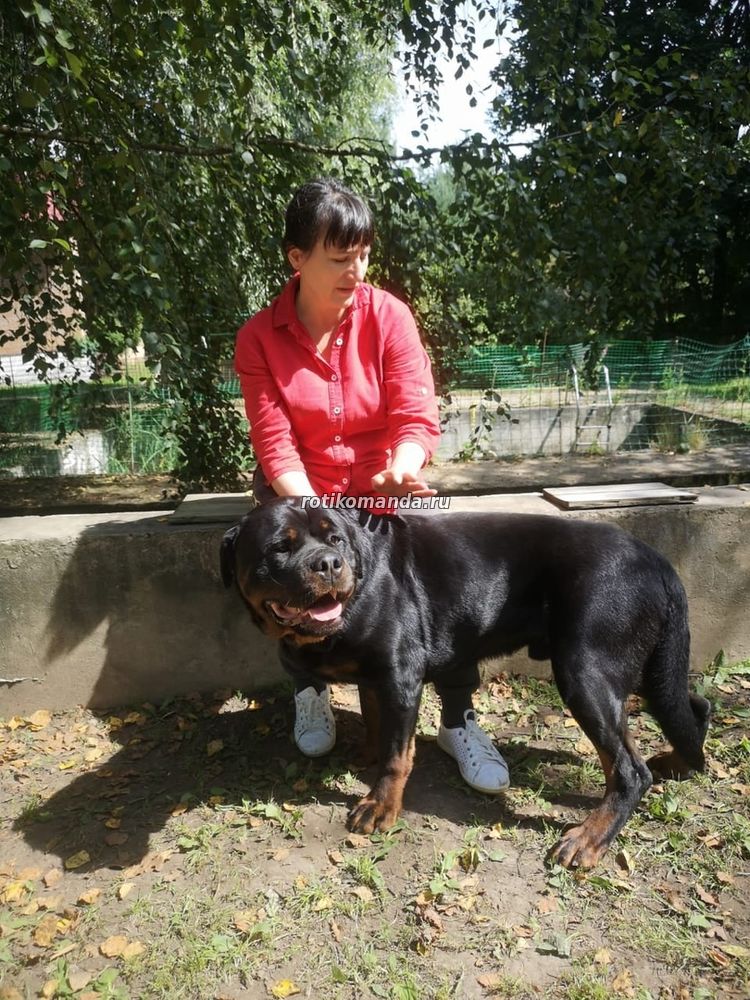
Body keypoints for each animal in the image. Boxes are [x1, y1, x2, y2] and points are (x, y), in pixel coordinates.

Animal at [220, 497, 710, 868]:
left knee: (629, 768)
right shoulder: (377, 677)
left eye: (334, 538)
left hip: (585, 670)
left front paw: (380, 805)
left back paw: (589, 838)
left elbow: (397, 754)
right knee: (690, 706)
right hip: (641, 667)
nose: (328, 563)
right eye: (279, 548)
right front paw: (366, 755)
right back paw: (678, 763)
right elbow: (375, 722)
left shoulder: (401, 675)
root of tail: (658, 561)